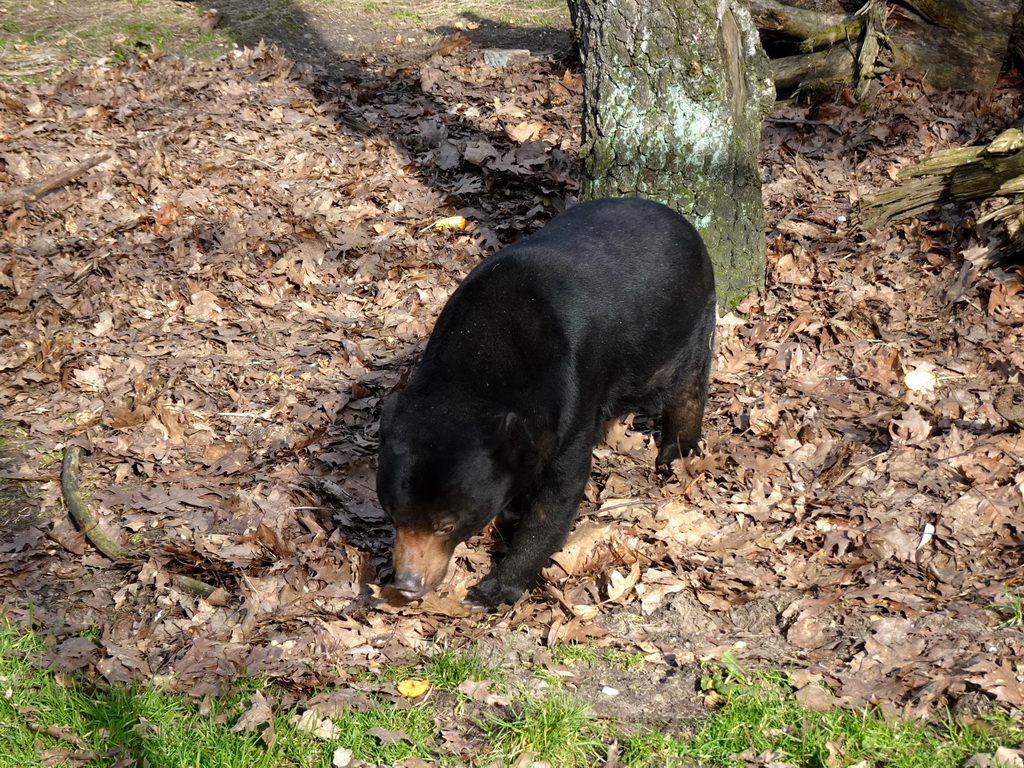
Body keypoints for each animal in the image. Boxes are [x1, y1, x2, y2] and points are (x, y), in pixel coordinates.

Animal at [372, 198, 716, 614]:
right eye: (393, 516)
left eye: (447, 524)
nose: (407, 584)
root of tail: (678, 219)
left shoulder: (571, 398)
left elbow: (558, 494)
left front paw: (491, 591)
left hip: (683, 324)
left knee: (688, 380)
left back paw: (676, 450)